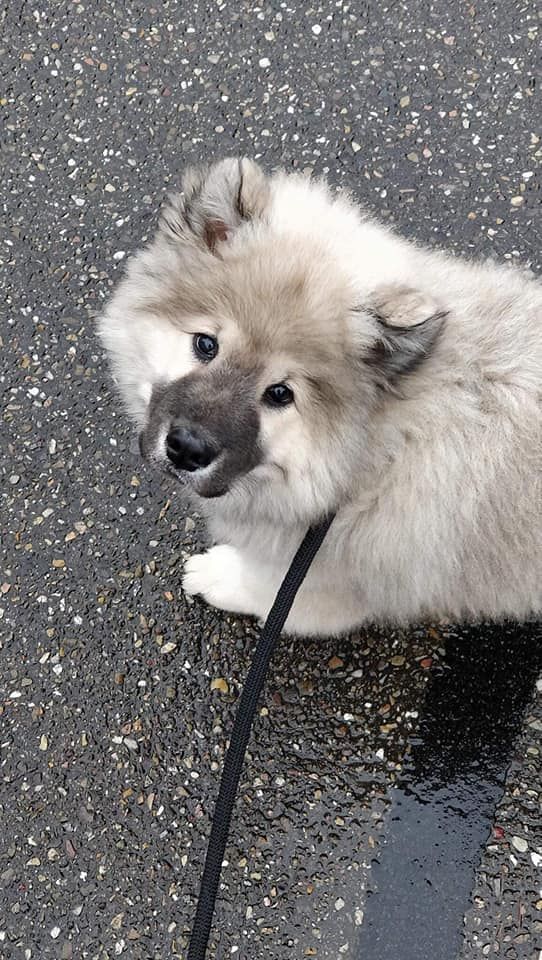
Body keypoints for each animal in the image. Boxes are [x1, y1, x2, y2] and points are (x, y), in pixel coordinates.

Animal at [99, 158, 542, 636]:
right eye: (205, 345)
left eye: (280, 393)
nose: (187, 449)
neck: (378, 454)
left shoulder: (328, 587)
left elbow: (266, 590)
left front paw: (218, 574)